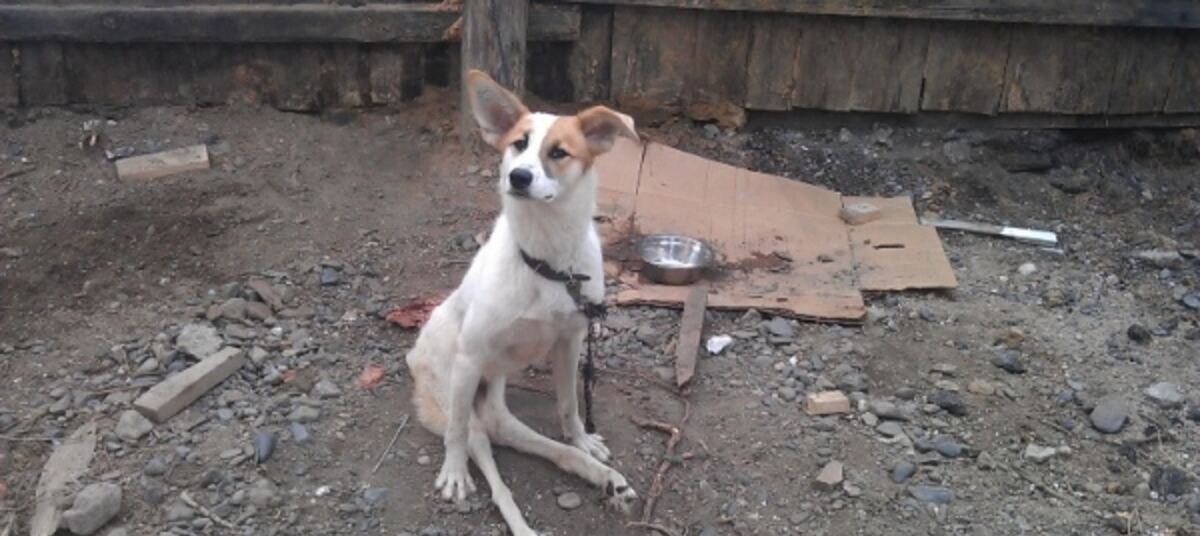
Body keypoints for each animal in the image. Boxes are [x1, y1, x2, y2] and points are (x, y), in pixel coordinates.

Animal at [405, 71, 638, 536]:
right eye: (517, 144)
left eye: (559, 152)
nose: (518, 177)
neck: (547, 261)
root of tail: (413, 354)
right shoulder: (470, 356)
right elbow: (456, 434)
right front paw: (453, 472)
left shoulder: (570, 341)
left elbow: (569, 405)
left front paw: (581, 439)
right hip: (459, 387)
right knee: (477, 447)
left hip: (494, 397)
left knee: (515, 434)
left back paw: (601, 476)